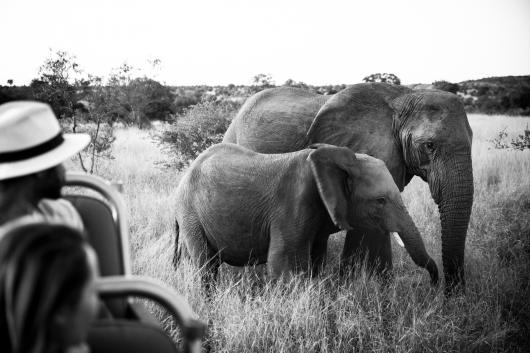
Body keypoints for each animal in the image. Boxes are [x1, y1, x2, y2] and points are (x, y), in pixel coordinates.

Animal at [174, 142, 438, 284]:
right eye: (380, 201)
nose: (435, 287)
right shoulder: (293, 204)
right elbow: (283, 266)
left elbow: (317, 260)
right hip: (191, 214)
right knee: (206, 267)